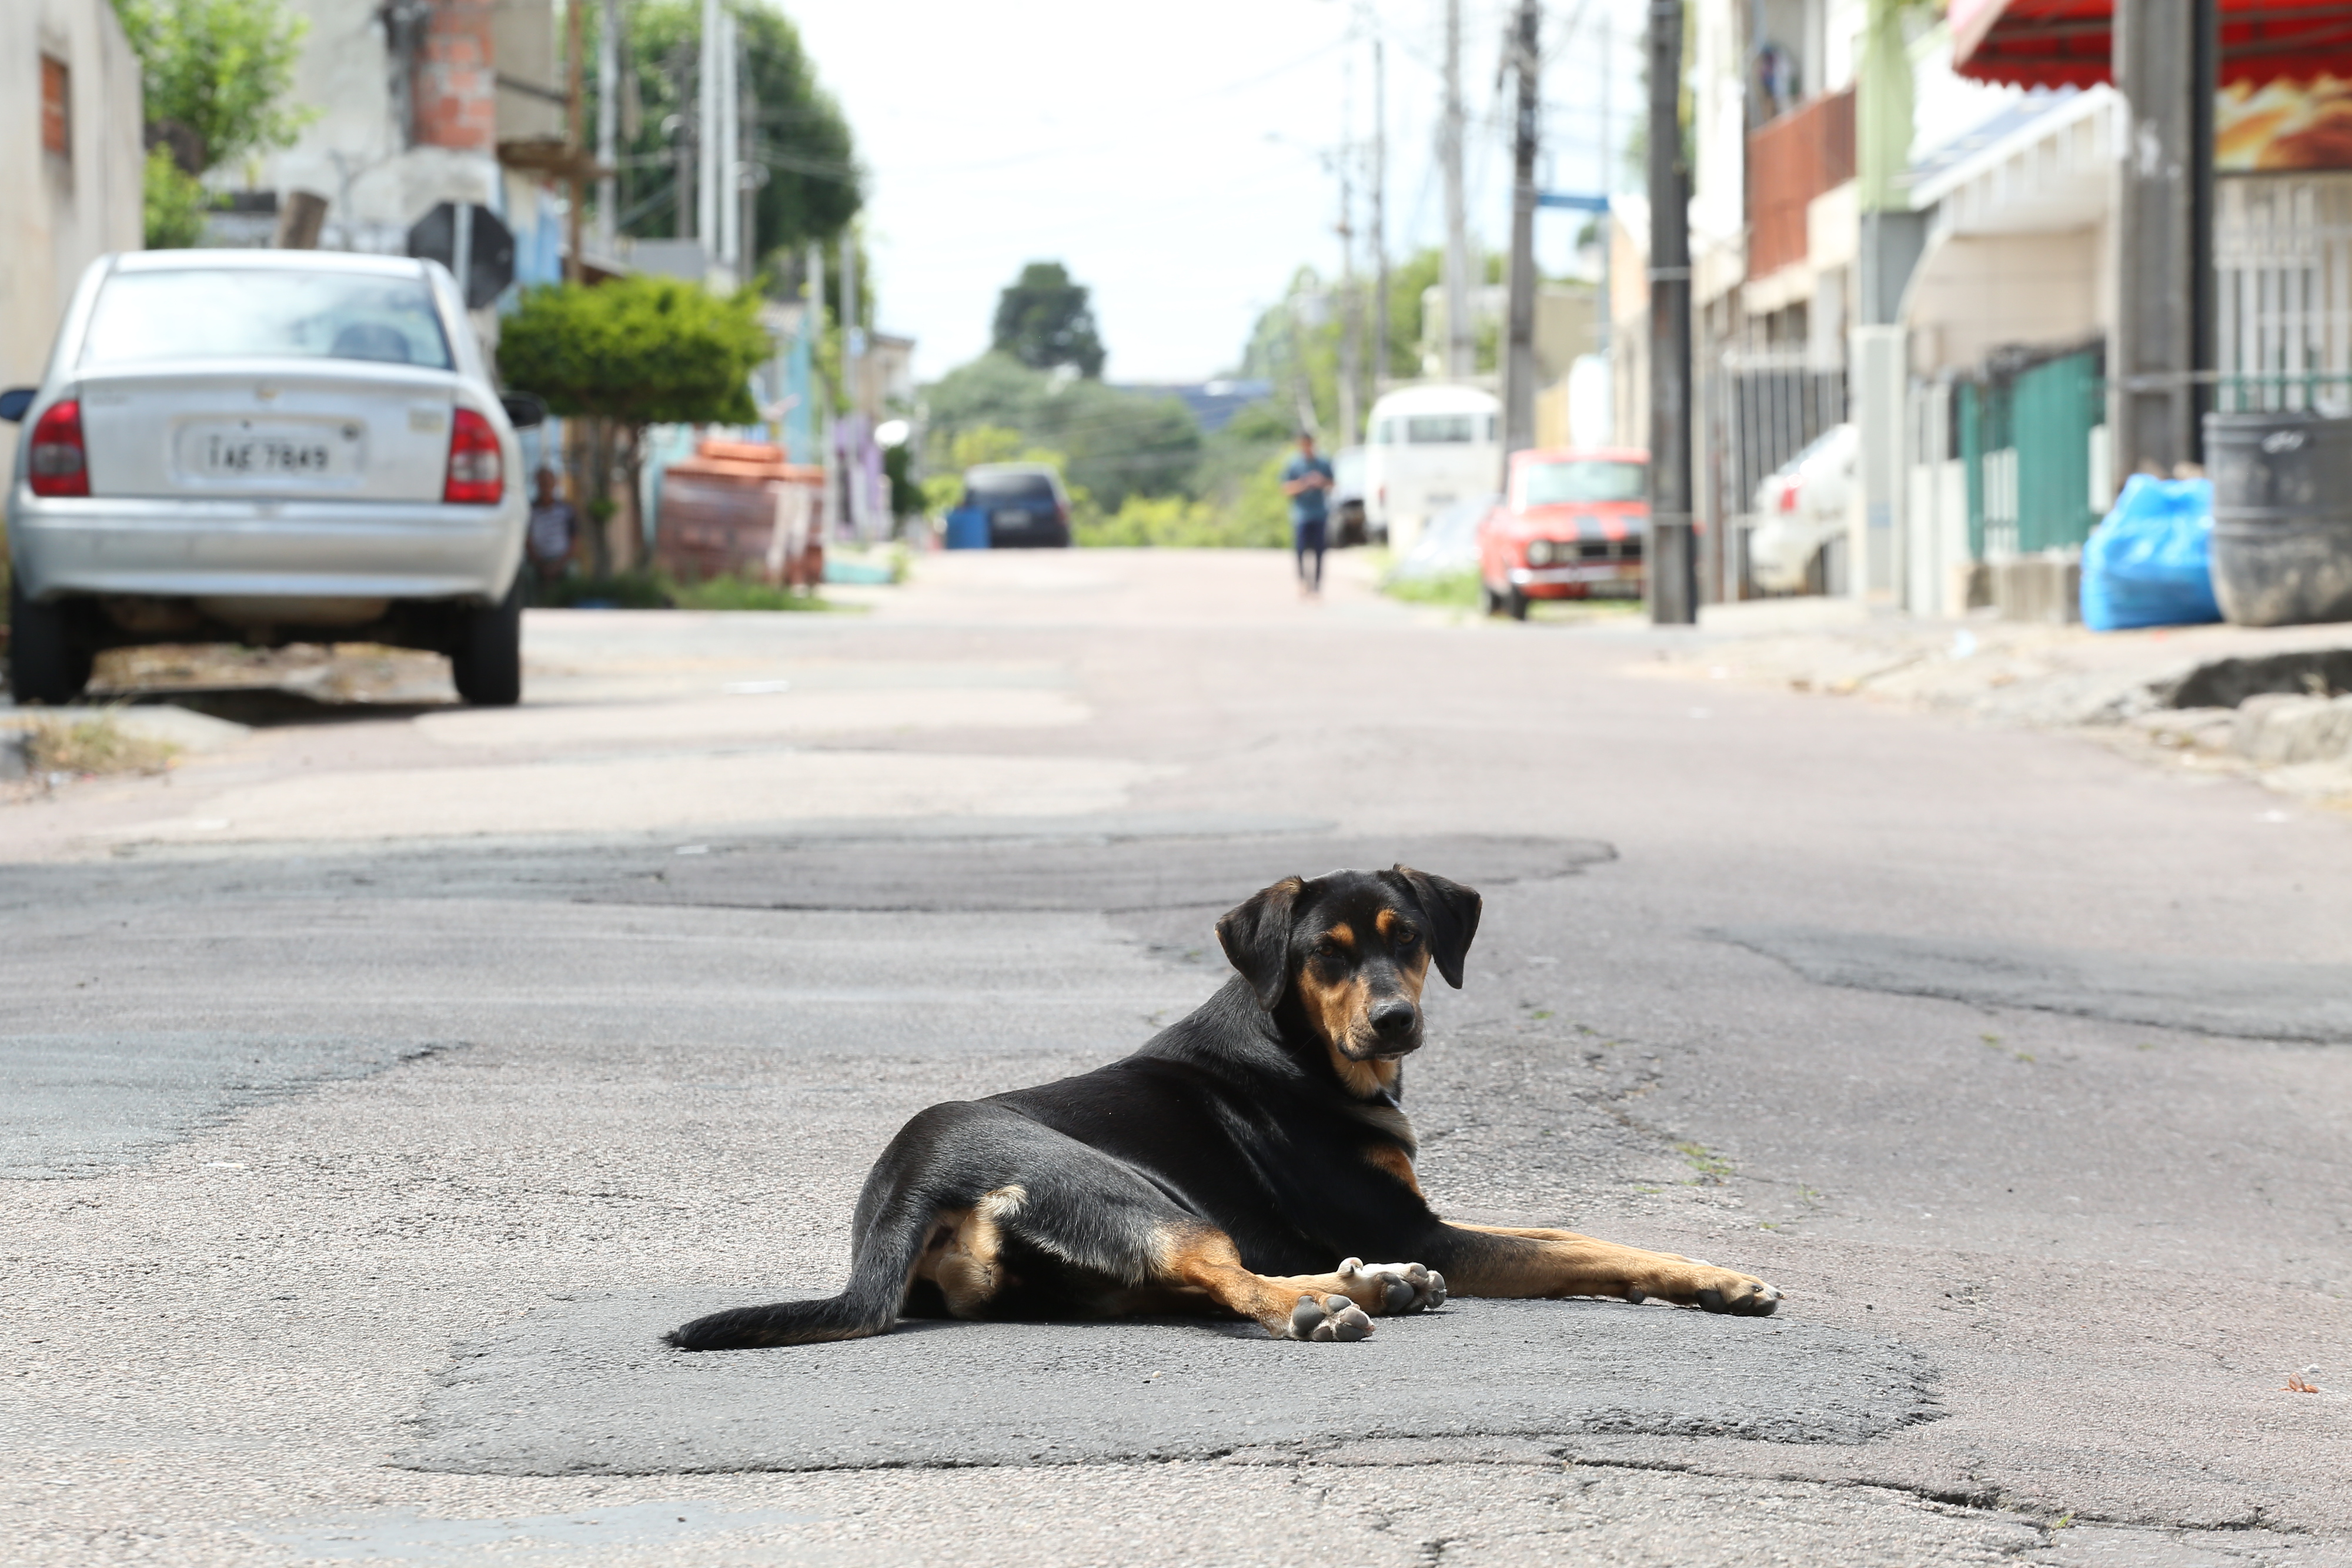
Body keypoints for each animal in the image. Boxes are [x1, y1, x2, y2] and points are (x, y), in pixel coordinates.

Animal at [673, 865, 1769, 1354]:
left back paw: (1376, 1286)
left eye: (1409, 937)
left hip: (1091, 1275)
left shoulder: (1423, 1221)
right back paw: (1332, 1304)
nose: (1397, 1019)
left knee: (1200, 1283)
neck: (1303, 1050)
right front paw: (1716, 1282)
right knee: (1226, 1275)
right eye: (1325, 952)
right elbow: (1583, 1245)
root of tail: (906, 1189)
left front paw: (1710, 1277)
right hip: (1130, 1193)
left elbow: (1569, 1231)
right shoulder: (1426, 1225)